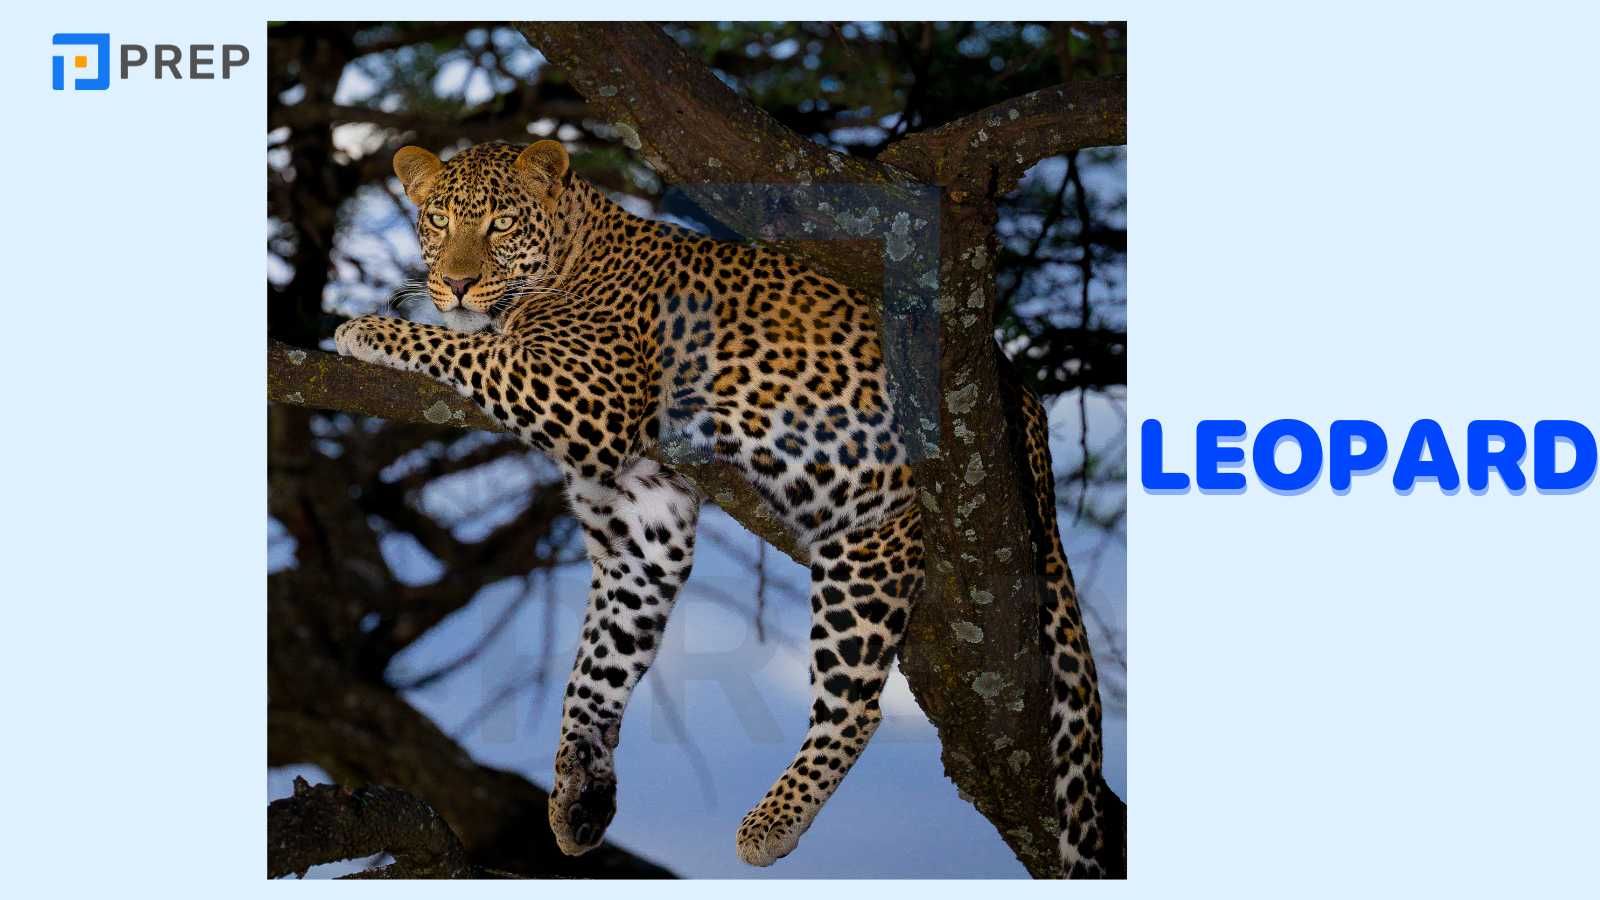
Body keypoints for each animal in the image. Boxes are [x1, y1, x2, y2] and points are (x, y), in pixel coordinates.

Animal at [333, 138, 1119, 877]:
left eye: (499, 224)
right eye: (439, 220)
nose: (458, 282)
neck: (572, 248)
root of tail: (1028, 422)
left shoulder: (583, 390)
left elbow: (464, 350)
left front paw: (365, 329)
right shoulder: (641, 524)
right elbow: (596, 668)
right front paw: (577, 793)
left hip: (868, 544)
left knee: (855, 705)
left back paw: (773, 822)